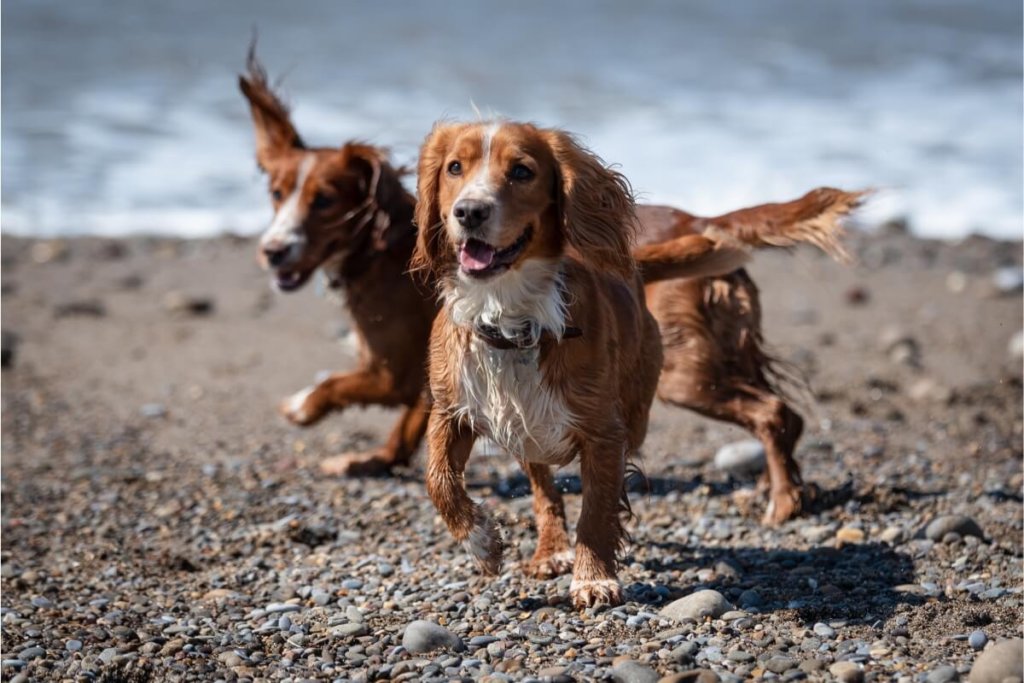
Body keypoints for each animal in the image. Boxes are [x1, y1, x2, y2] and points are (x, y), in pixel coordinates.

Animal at [409, 120, 753, 606]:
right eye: (454, 167)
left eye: (522, 171)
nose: (470, 212)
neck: (511, 318)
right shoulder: (449, 410)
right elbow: (437, 480)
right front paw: (482, 543)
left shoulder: (604, 431)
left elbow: (596, 509)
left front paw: (594, 578)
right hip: (524, 431)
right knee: (543, 488)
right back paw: (551, 549)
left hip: (634, 413)